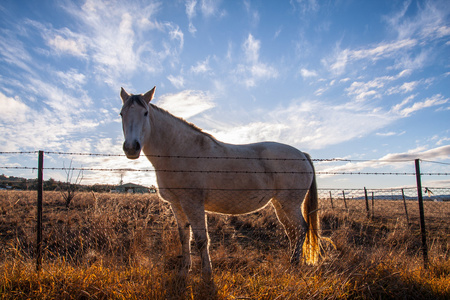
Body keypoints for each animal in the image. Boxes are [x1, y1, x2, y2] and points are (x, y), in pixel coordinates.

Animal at [119, 86, 320, 282]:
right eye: (122, 113)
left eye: (145, 113)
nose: (131, 148)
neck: (180, 151)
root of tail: (302, 154)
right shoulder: (177, 205)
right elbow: (184, 237)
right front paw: (184, 272)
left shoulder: (193, 204)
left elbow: (201, 239)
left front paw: (207, 274)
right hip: (280, 205)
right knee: (292, 231)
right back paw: (291, 261)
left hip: (290, 205)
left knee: (300, 229)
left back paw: (294, 265)